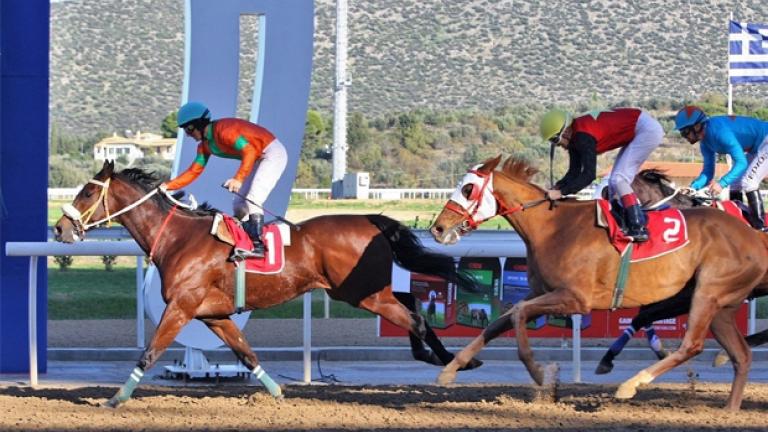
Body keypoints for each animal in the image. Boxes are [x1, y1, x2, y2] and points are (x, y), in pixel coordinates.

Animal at [52, 161, 480, 408]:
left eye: (87, 192)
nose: (59, 228)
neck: (178, 238)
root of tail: (370, 220)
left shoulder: (181, 308)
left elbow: (149, 353)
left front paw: (115, 399)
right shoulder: (214, 316)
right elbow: (246, 354)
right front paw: (276, 393)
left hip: (361, 292)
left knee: (416, 319)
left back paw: (447, 360)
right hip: (365, 290)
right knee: (412, 305)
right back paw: (455, 358)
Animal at [428, 156, 768, 412]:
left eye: (468, 188)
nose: (438, 229)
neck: (553, 228)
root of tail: (754, 237)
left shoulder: (576, 298)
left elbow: (518, 314)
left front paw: (540, 374)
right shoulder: (542, 292)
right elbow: (500, 321)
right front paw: (449, 370)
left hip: (707, 293)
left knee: (693, 344)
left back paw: (630, 385)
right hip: (722, 305)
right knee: (741, 355)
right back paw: (729, 409)